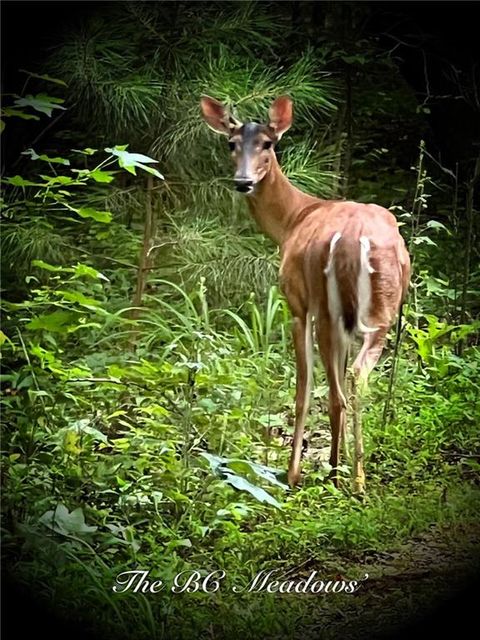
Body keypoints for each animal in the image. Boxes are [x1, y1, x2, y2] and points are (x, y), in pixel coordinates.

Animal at [201, 96, 410, 496]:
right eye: (231, 144)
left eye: (267, 144)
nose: (243, 182)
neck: (294, 219)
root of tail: (356, 240)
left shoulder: (298, 305)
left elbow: (302, 390)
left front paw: (294, 472)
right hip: (382, 310)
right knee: (355, 381)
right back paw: (355, 476)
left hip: (328, 307)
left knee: (339, 390)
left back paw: (341, 476)